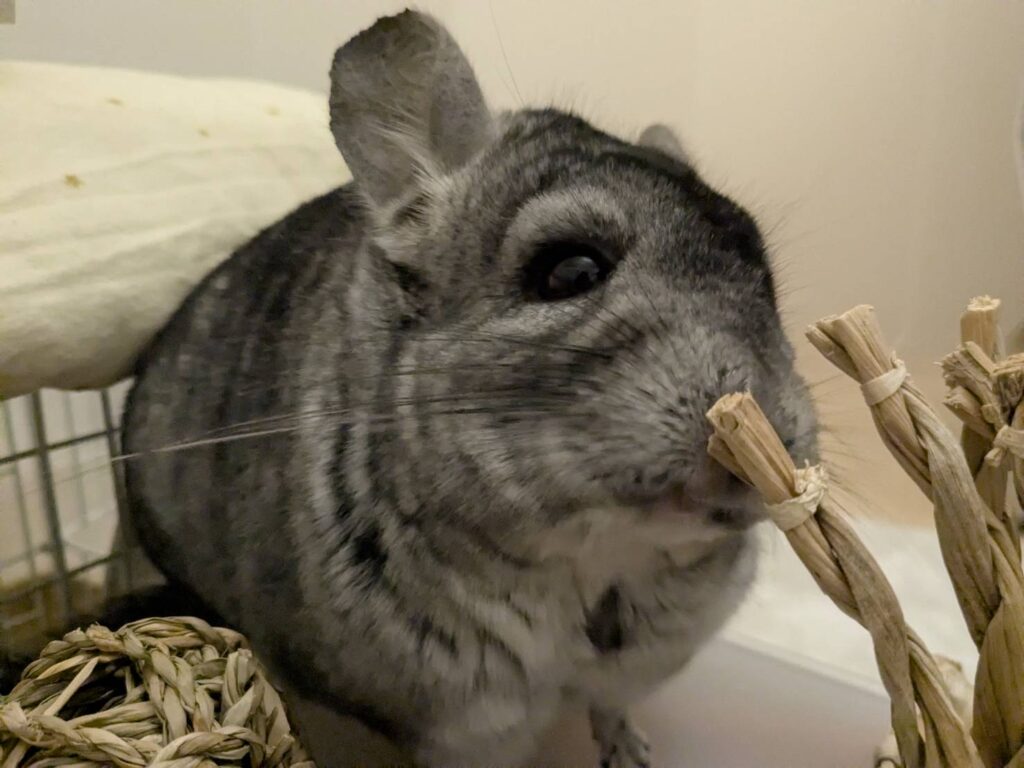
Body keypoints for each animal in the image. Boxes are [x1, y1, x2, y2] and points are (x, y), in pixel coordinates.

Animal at [120, 9, 818, 768]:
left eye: (767, 282)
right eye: (570, 270)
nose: (763, 430)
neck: (594, 564)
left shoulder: (634, 667)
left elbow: (610, 706)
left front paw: (635, 755)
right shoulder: (459, 727)